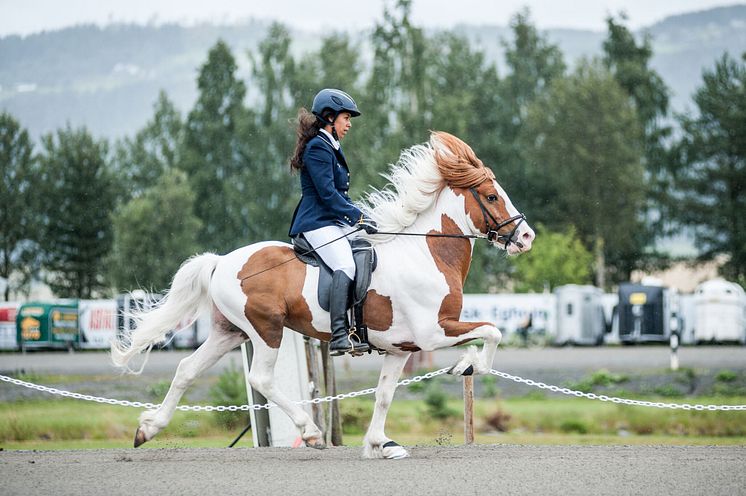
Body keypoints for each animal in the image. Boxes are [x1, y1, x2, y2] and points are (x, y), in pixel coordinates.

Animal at [110, 131, 532, 458]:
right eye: (491, 197)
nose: (526, 237)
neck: (427, 252)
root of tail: (221, 262)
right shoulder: (434, 332)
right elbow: (492, 331)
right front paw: (466, 366)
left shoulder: (402, 348)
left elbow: (384, 394)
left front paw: (379, 443)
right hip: (266, 329)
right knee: (261, 378)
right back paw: (311, 432)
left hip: (229, 331)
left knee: (186, 369)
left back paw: (148, 428)